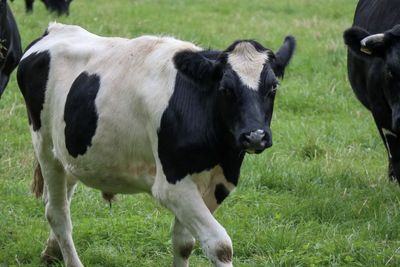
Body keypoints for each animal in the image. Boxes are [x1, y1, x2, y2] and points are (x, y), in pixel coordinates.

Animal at [17, 23, 296, 267]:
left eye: (273, 87)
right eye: (225, 89)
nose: (255, 136)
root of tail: (55, 29)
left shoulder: (218, 183)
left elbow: (183, 243)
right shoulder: (172, 185)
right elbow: (220, 245)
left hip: (70, 153)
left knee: (61, 198)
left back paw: (51, 252)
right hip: (45, 147)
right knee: (57, 213)